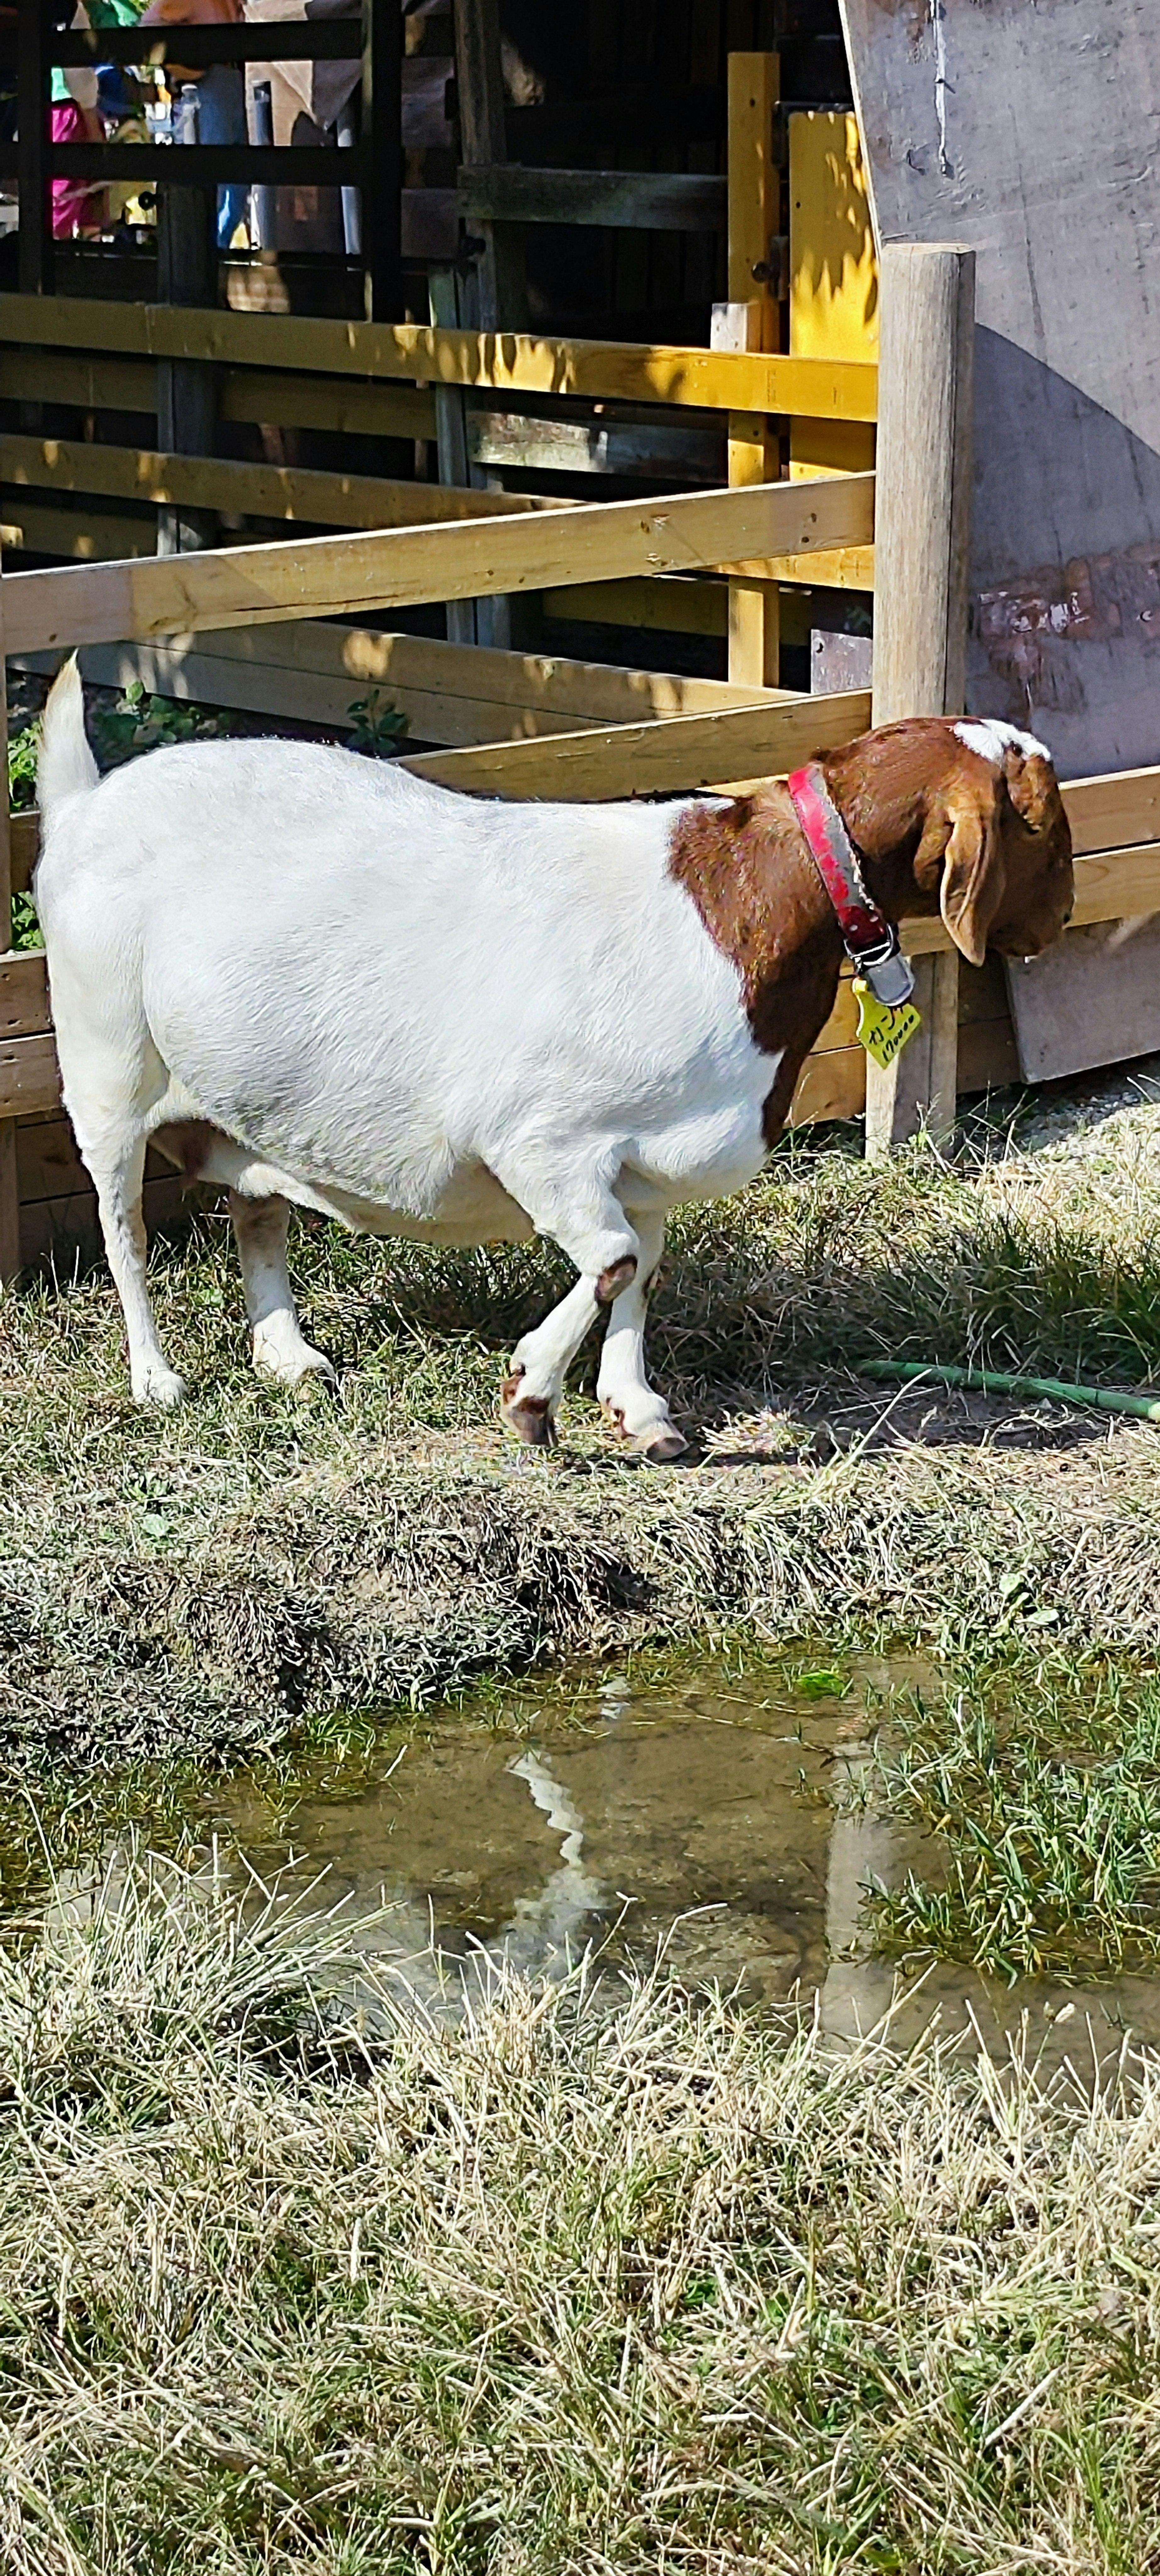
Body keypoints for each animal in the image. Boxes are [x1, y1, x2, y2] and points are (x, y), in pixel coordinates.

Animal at [34, 664, 1067, 1463]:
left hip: (250, 1099)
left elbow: (644, 1264)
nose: (1060, 916)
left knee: (256, 1207)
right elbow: (611, 1260)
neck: (749, 904)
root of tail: (85, 806)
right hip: (107, 1063)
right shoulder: (543, 1142)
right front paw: (532, 1396)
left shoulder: (646, 1161)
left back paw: (289, 1353)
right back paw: (156, 1376)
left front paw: (637, 1410)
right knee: (124, 1231)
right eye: (1038, 817)